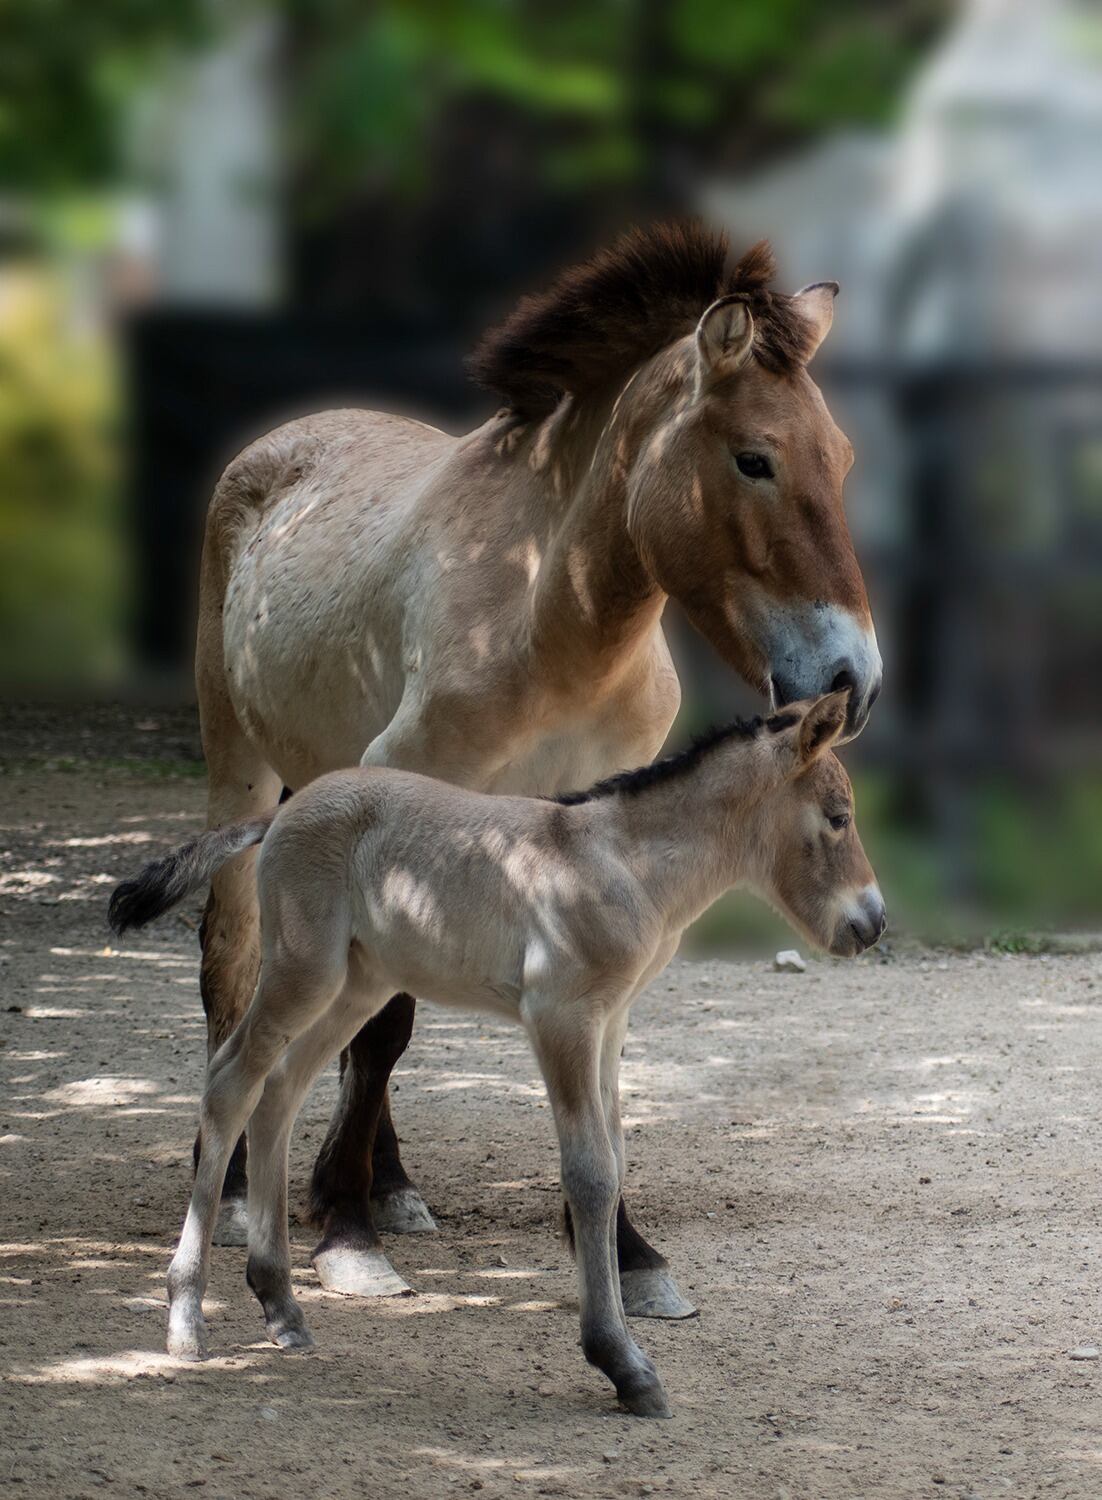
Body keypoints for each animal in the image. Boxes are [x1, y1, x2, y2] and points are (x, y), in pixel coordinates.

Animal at [112, 690, 881, 1416]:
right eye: (838, 816)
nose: (871, 924)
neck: (623, 865)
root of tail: (285, 810)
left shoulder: (612, 1023)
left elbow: (616, 1159)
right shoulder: (561, 1018)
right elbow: (590, 1173)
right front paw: (622, 1363)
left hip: (357, 984)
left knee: (280, 1091)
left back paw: (281, 1307)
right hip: (303, 969)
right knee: (232, 1081)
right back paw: (186, 1319)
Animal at [191, 219, 881, 1314]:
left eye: (842, 457)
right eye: (754, 459)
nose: (853, 678)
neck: (552, 616)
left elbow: (602, 1066)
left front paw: (628, 1251)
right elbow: (385, 1031)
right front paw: (344, 1231)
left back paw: (390, 1185)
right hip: (244, 769)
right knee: (236, 962)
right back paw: (244, 1193)